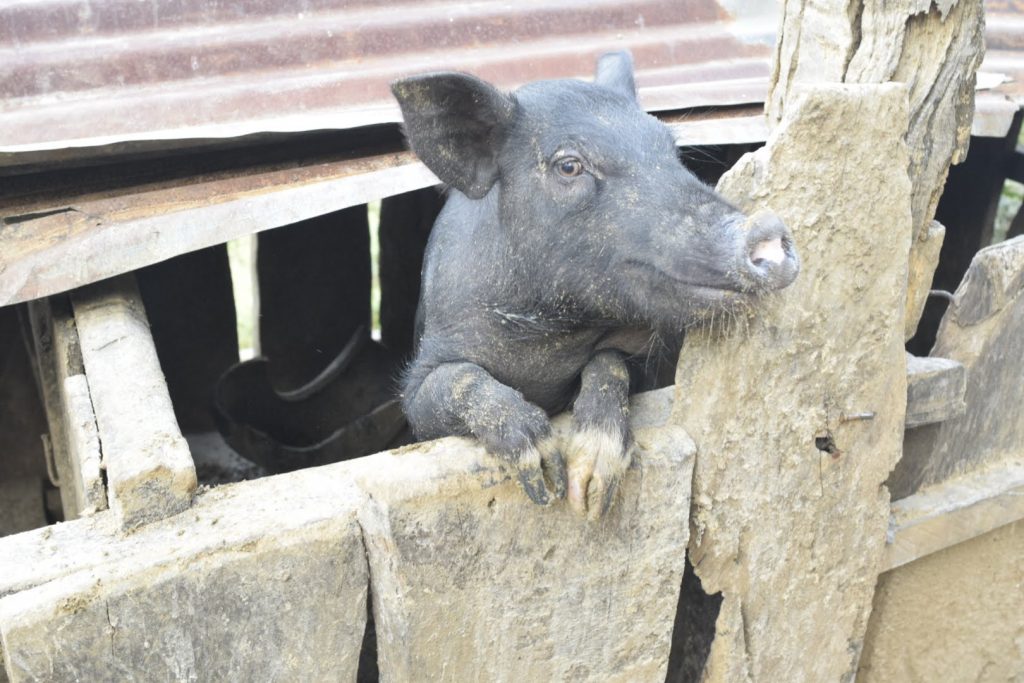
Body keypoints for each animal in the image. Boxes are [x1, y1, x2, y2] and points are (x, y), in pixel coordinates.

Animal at [391, 52, 799, 519]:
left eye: (671, 151)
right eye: (569, 165)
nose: (766, 230)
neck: (545, 342)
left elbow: (609, 360)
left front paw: (588, 495)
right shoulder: (422, 380)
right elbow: (455, 380)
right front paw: (544, 474)